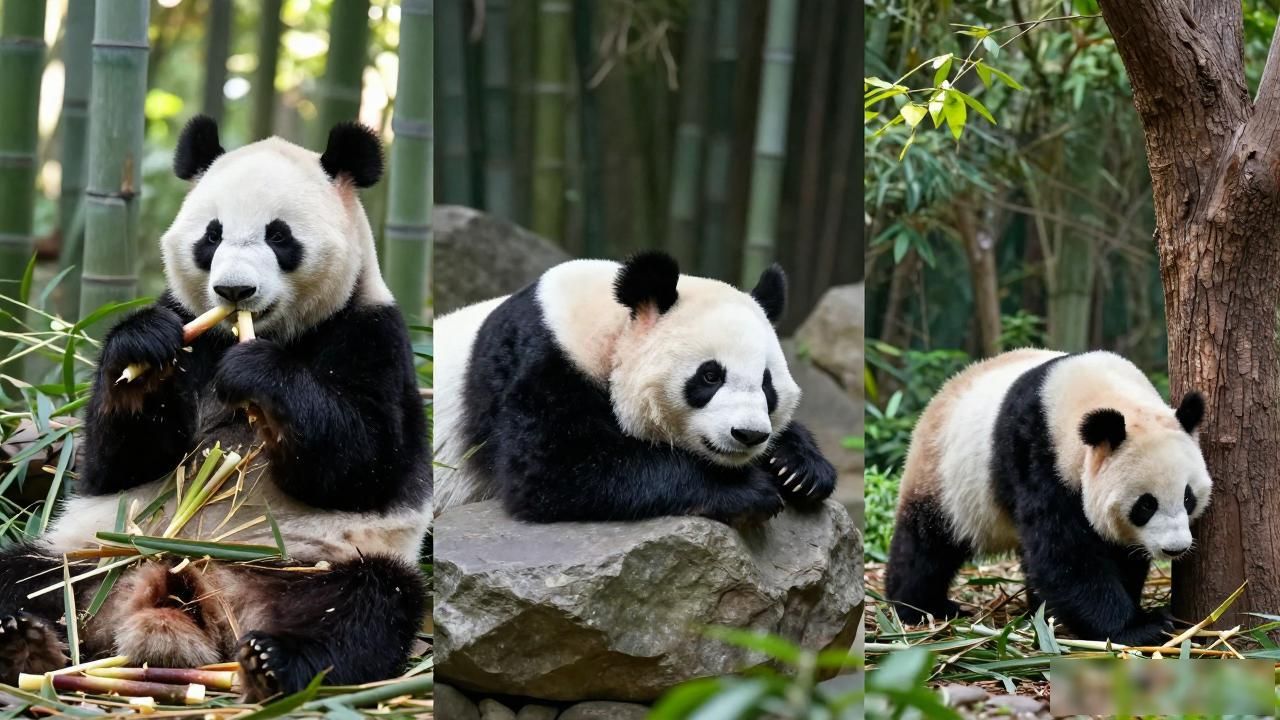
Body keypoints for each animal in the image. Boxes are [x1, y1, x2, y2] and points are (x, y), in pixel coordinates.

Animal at [0, 116, 431, 699]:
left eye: (279, 236)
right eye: (212, 235)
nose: (234, 290)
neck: (262, 333)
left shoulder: (370, 335)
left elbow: (365, 462)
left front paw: (258, 374)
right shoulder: (190, 326)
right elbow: (117, 461)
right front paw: (142, 354)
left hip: (307, 569)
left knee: (368, 607)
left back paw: (273, 662)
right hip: (93, 554)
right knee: (24, 575)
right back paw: (24, 641)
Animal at [432, 250, 837, 523]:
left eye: (767, 385)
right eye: (710, 376)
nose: (749, 434)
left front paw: (799, 469)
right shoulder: (542, 362)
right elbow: (551, 468)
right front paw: (747, 491)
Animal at [885, 348, 1212, 645]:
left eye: (1188, 498)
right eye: (1145, 504)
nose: (1175, 548)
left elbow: (1118, 553)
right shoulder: (1036, 456)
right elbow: (1063, 554)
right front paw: (1140, 628)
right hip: (943, 478)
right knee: (925, 545)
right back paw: (919, 608)